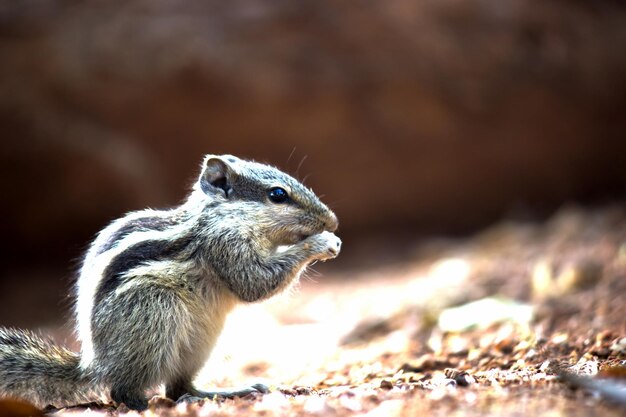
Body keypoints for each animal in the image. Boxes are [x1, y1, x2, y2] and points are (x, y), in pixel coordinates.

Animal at [0, 154, 342, 410]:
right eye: (278, 195)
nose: (333, 221)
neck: (222, 214)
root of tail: (95, 363)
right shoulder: (223, 242)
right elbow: (253, 283)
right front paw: (321, 243)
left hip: (200, 342)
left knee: (178, 387)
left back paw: (223, 392)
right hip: (154, 313)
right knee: (121, 390)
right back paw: (144, 404)